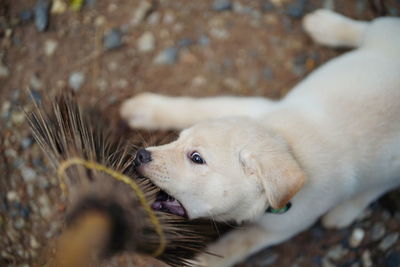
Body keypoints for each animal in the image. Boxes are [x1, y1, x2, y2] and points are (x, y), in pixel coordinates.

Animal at [119, 9, 400, 266]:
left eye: (196, 158)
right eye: (178, 139)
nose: (140, 155)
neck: (286, 143)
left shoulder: (276, 230)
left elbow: (229, 249)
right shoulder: (246, 108)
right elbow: (196, 107)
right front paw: (144, 109)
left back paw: (345, 211)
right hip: (384, 36)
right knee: (372, 28)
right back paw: (324, 25)